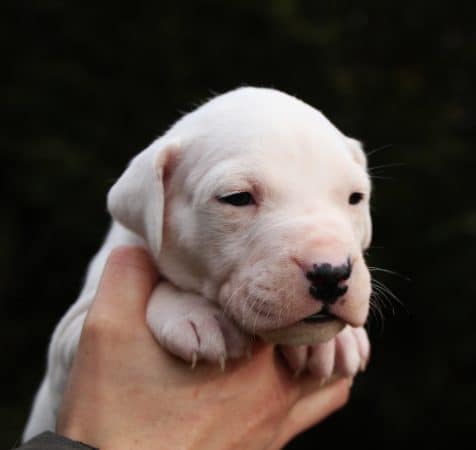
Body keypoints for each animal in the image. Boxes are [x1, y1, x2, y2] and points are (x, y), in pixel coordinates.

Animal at [23, 87, 372, 440]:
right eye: (237, 198)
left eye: (355, 198)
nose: (331, 274)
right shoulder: (69, 344)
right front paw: (194, 314)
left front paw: (338, 341)